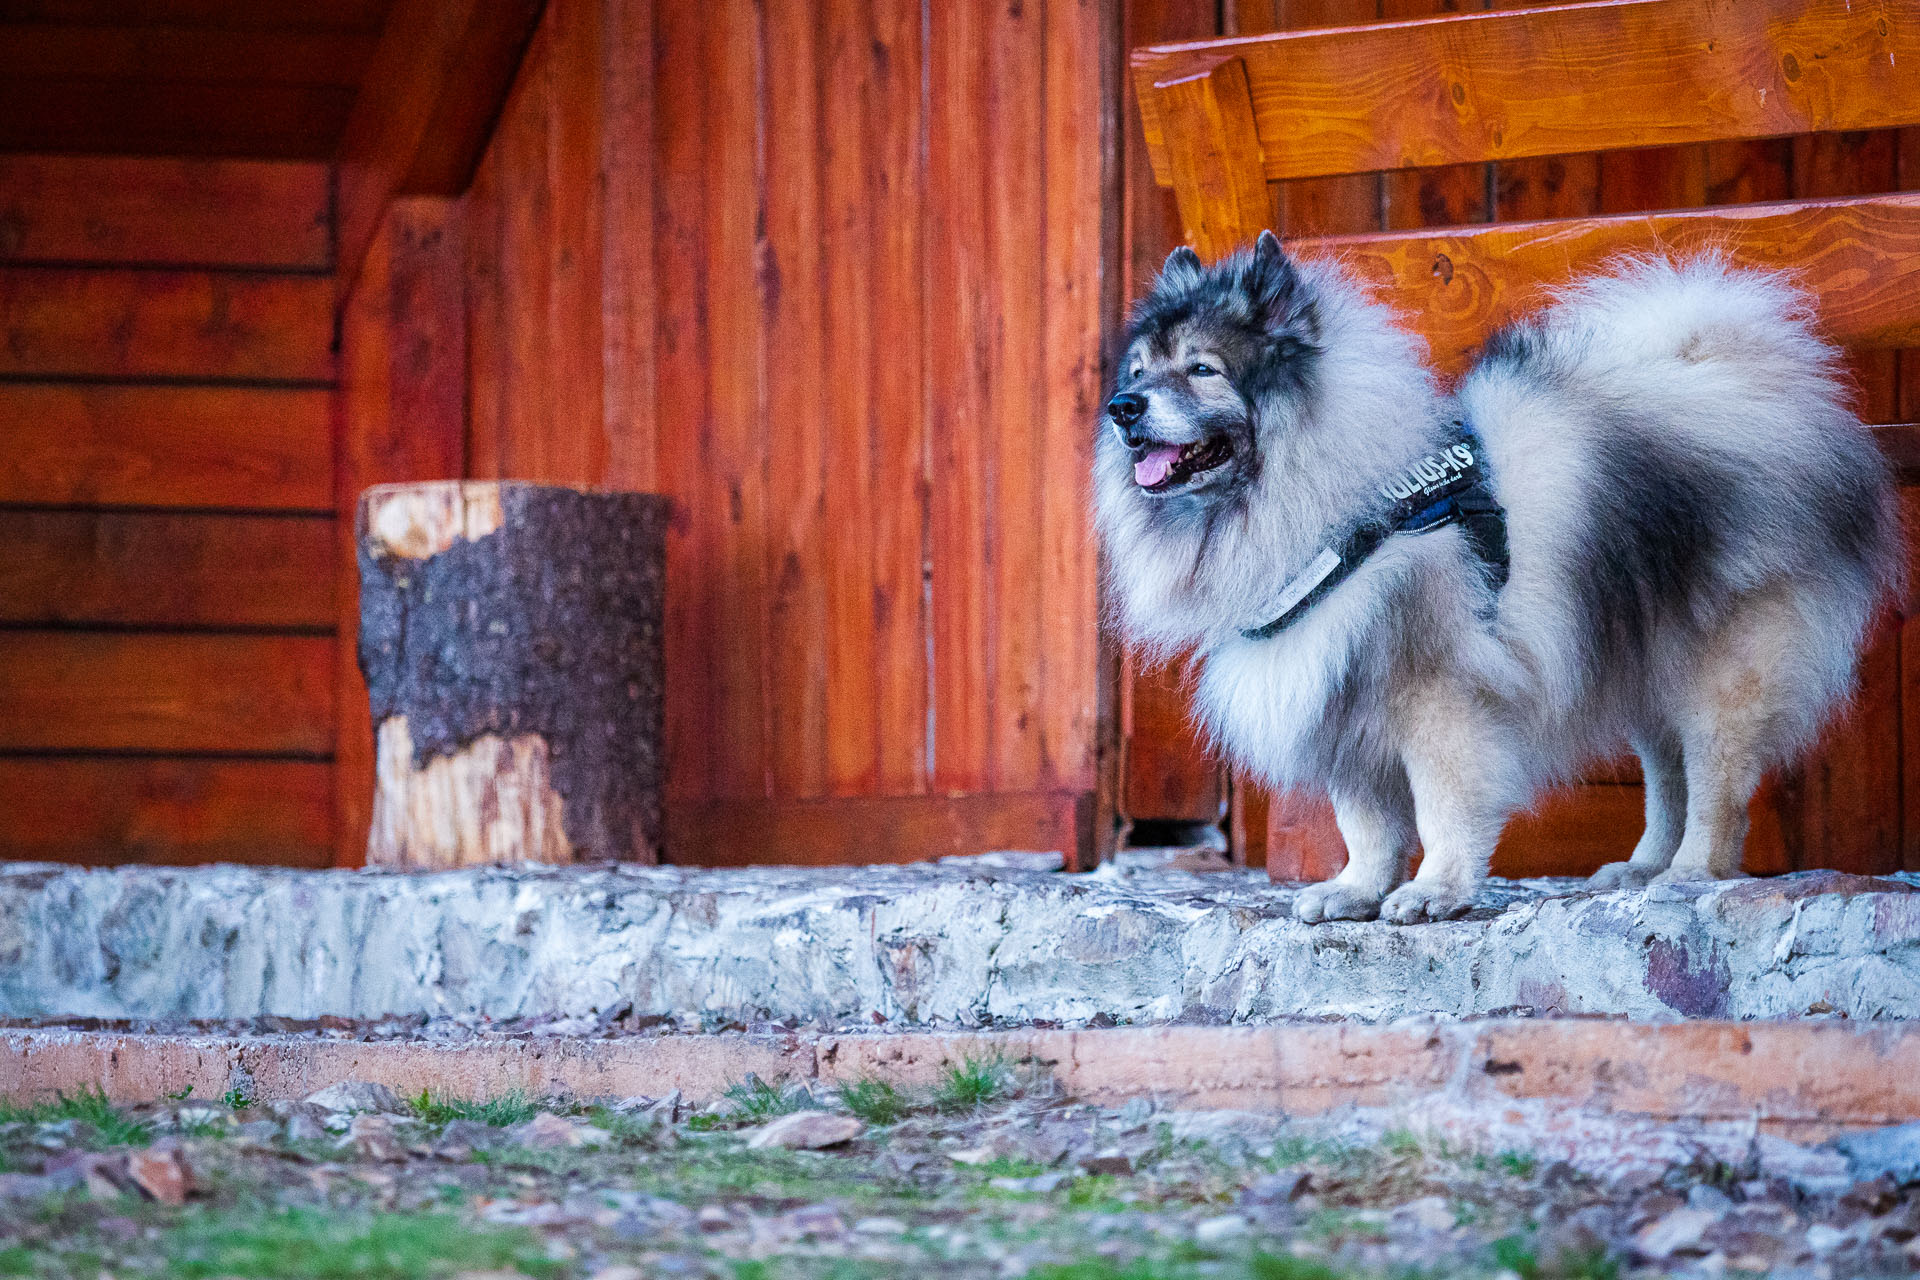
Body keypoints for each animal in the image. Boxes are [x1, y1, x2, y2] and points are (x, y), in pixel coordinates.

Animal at [1098, 233, 1904, 921]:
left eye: (1202, 369)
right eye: (1138, 373)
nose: (1121, 408)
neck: (1340, 498)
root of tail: (1752, 382)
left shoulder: (1436, 699)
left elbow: (1440, 807)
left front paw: (1433, 892)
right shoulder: (1340, 692)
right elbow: (1365, 823)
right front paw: (1355, 890)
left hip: (1723, 671)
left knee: (1716, 785)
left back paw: (1687, 875)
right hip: (1646, 658)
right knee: (1666, 776)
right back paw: (1641, 867)